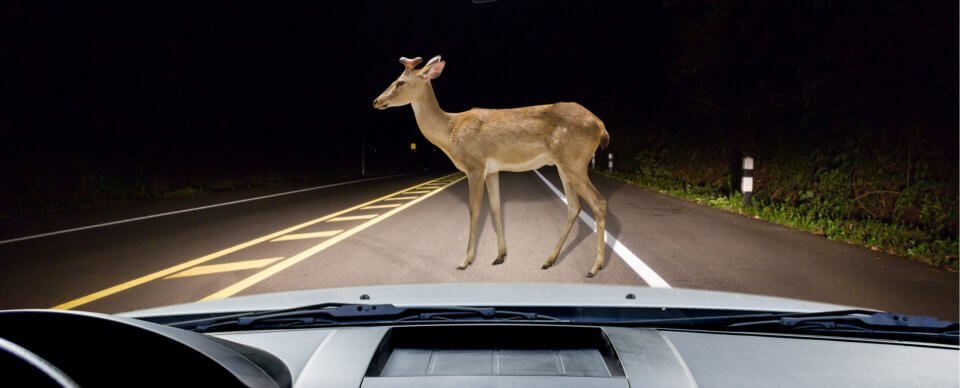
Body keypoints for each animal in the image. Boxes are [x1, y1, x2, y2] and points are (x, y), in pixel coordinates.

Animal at [372, 56, 612, 278]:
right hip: (564, 165)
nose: (376, 101)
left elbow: (474, 209)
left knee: (598, 201)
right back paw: (549, 260)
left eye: (400, 82)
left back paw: (595, 267)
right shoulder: (492, 170)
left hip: (574, 161)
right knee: (575, 205)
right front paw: (500, 256)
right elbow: (496, 207)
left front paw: (465, 260)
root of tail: (601, 127)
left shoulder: (475, 165)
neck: (450, 132)